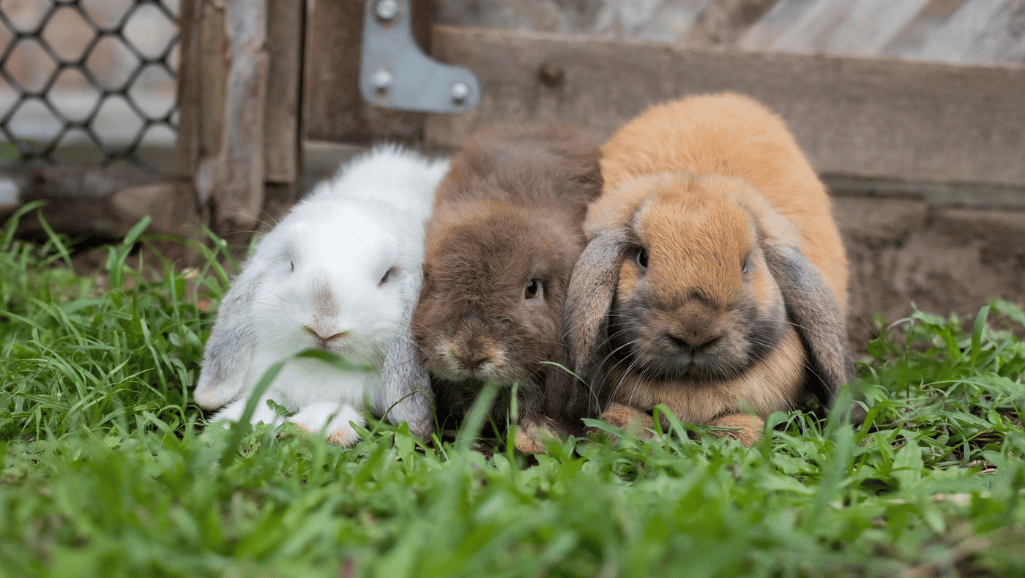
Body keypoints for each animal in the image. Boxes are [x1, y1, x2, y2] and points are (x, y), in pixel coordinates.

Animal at [192, 146, 448, 444]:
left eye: (386, 276)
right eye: (291, 264)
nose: (324, 326)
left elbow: (337, 408)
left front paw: (309, 430)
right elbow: (264, 400)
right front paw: (227, 427)